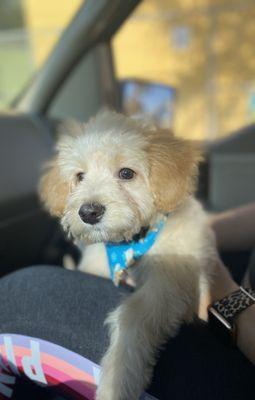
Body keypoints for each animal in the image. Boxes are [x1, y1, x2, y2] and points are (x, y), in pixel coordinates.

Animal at [39, 110, 217, 400]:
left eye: (126, 173)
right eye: (79, 176)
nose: (88, 212)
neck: (131, 243)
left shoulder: (171, 283)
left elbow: (132, 313)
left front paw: (117, 380)